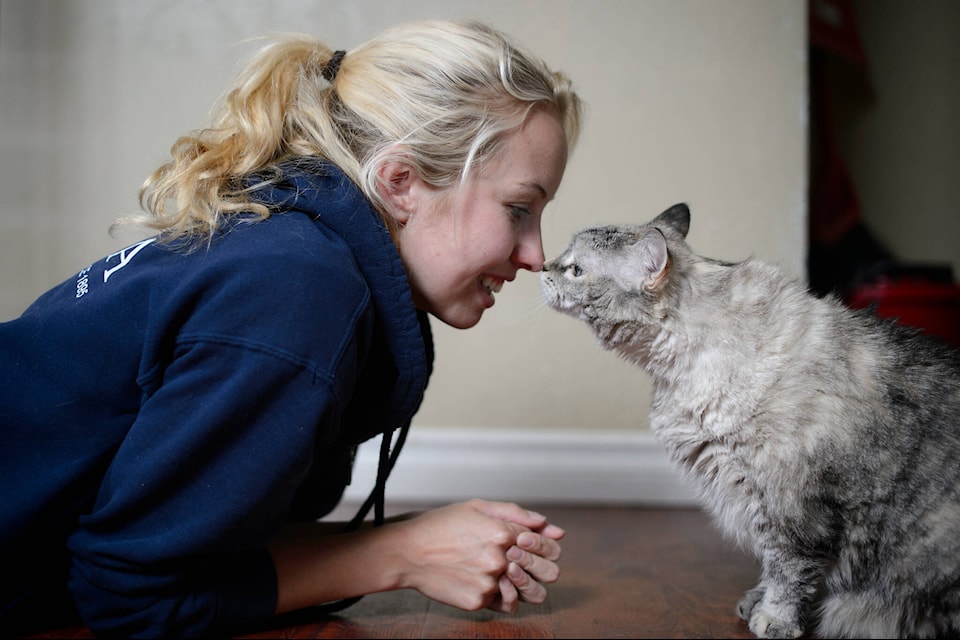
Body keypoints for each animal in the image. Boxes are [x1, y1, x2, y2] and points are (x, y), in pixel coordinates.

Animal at [544, 205, 960, 640]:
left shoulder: (792, 505)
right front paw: (758, 601)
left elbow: (789, 571)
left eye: (576, 269)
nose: (542, 266)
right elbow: (771, 564)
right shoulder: (751, 495)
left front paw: (776, 618)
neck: (678, 378)